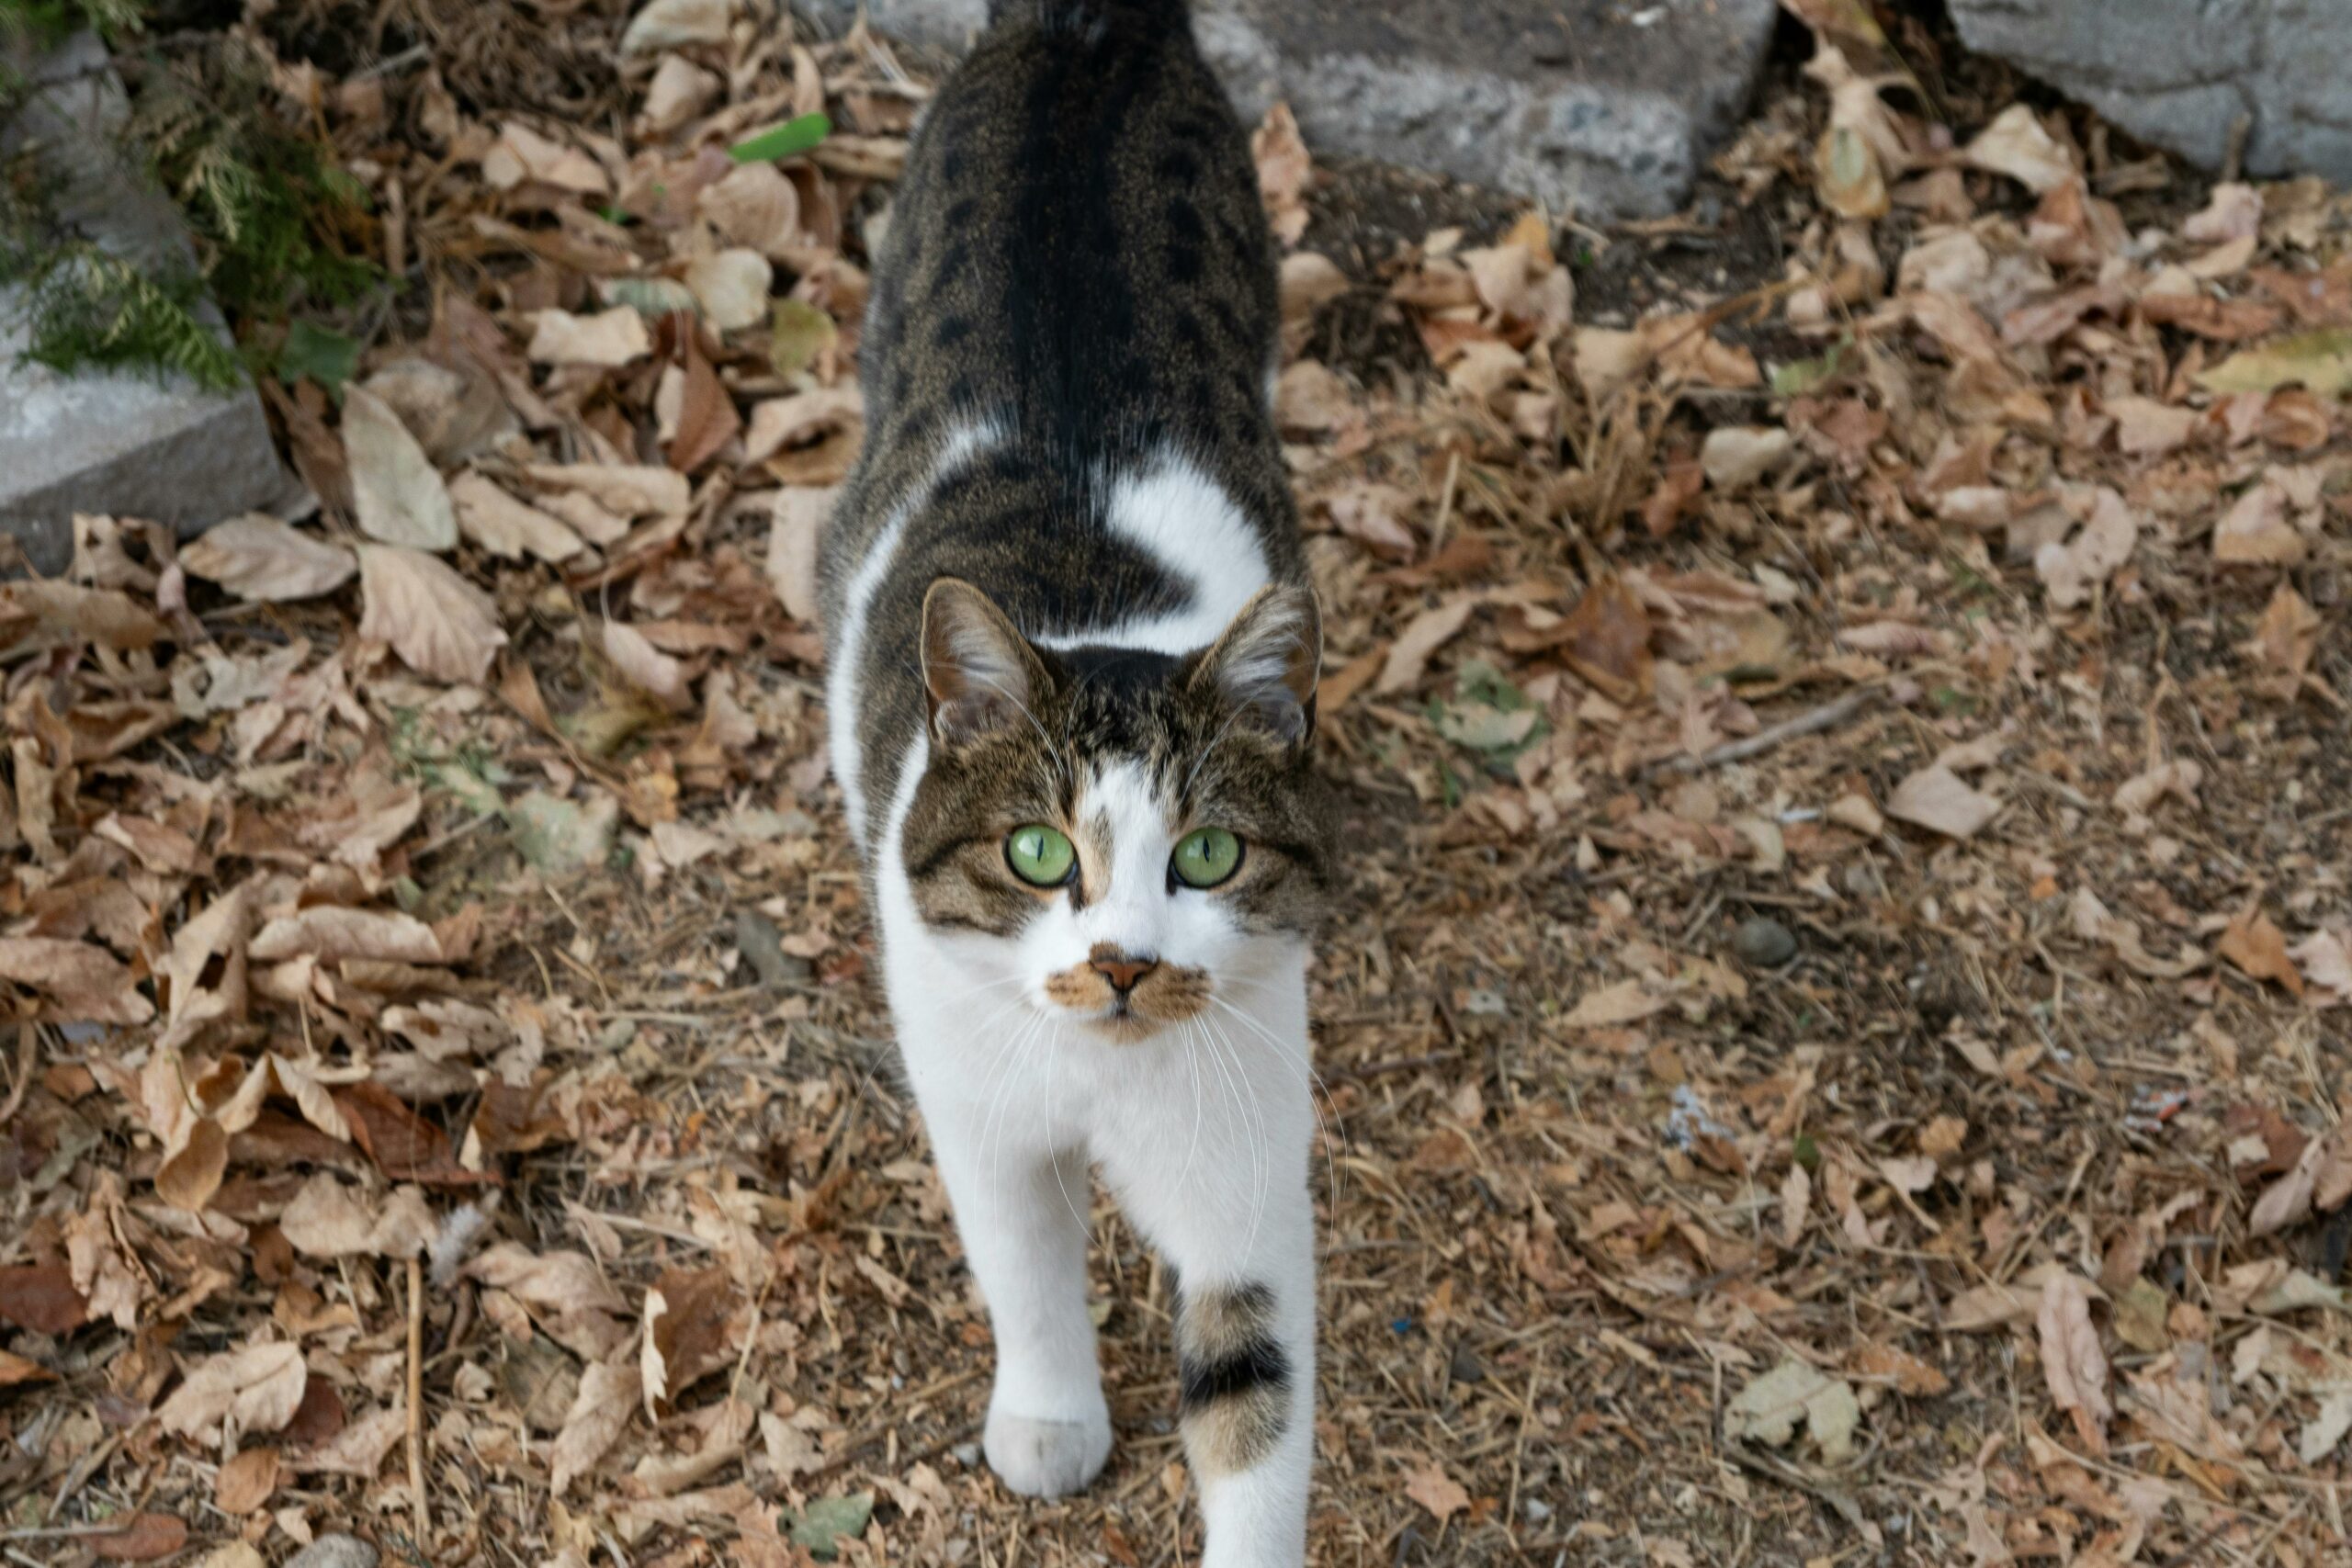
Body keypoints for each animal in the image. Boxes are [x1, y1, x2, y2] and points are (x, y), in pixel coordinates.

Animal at [813, 0, 1336, 1561]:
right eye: (1040, 853)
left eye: (1208, 856)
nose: (1119, 961)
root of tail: (1094, 29)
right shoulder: (979, 1105)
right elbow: (1024, 1263)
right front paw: (1050, 1416)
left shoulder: (1244, 1170)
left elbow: (1251, 1391)